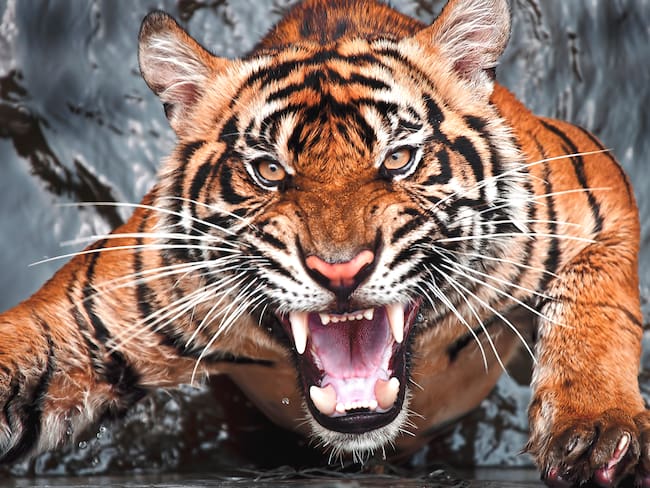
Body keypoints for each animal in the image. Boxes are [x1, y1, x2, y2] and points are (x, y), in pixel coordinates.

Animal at [0, 0, 646, 485]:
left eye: (399, 159)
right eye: (268, 171)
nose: (340, 271)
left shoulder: (595, 190)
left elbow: (597, 300)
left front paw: (594, 426)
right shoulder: (86, 320)